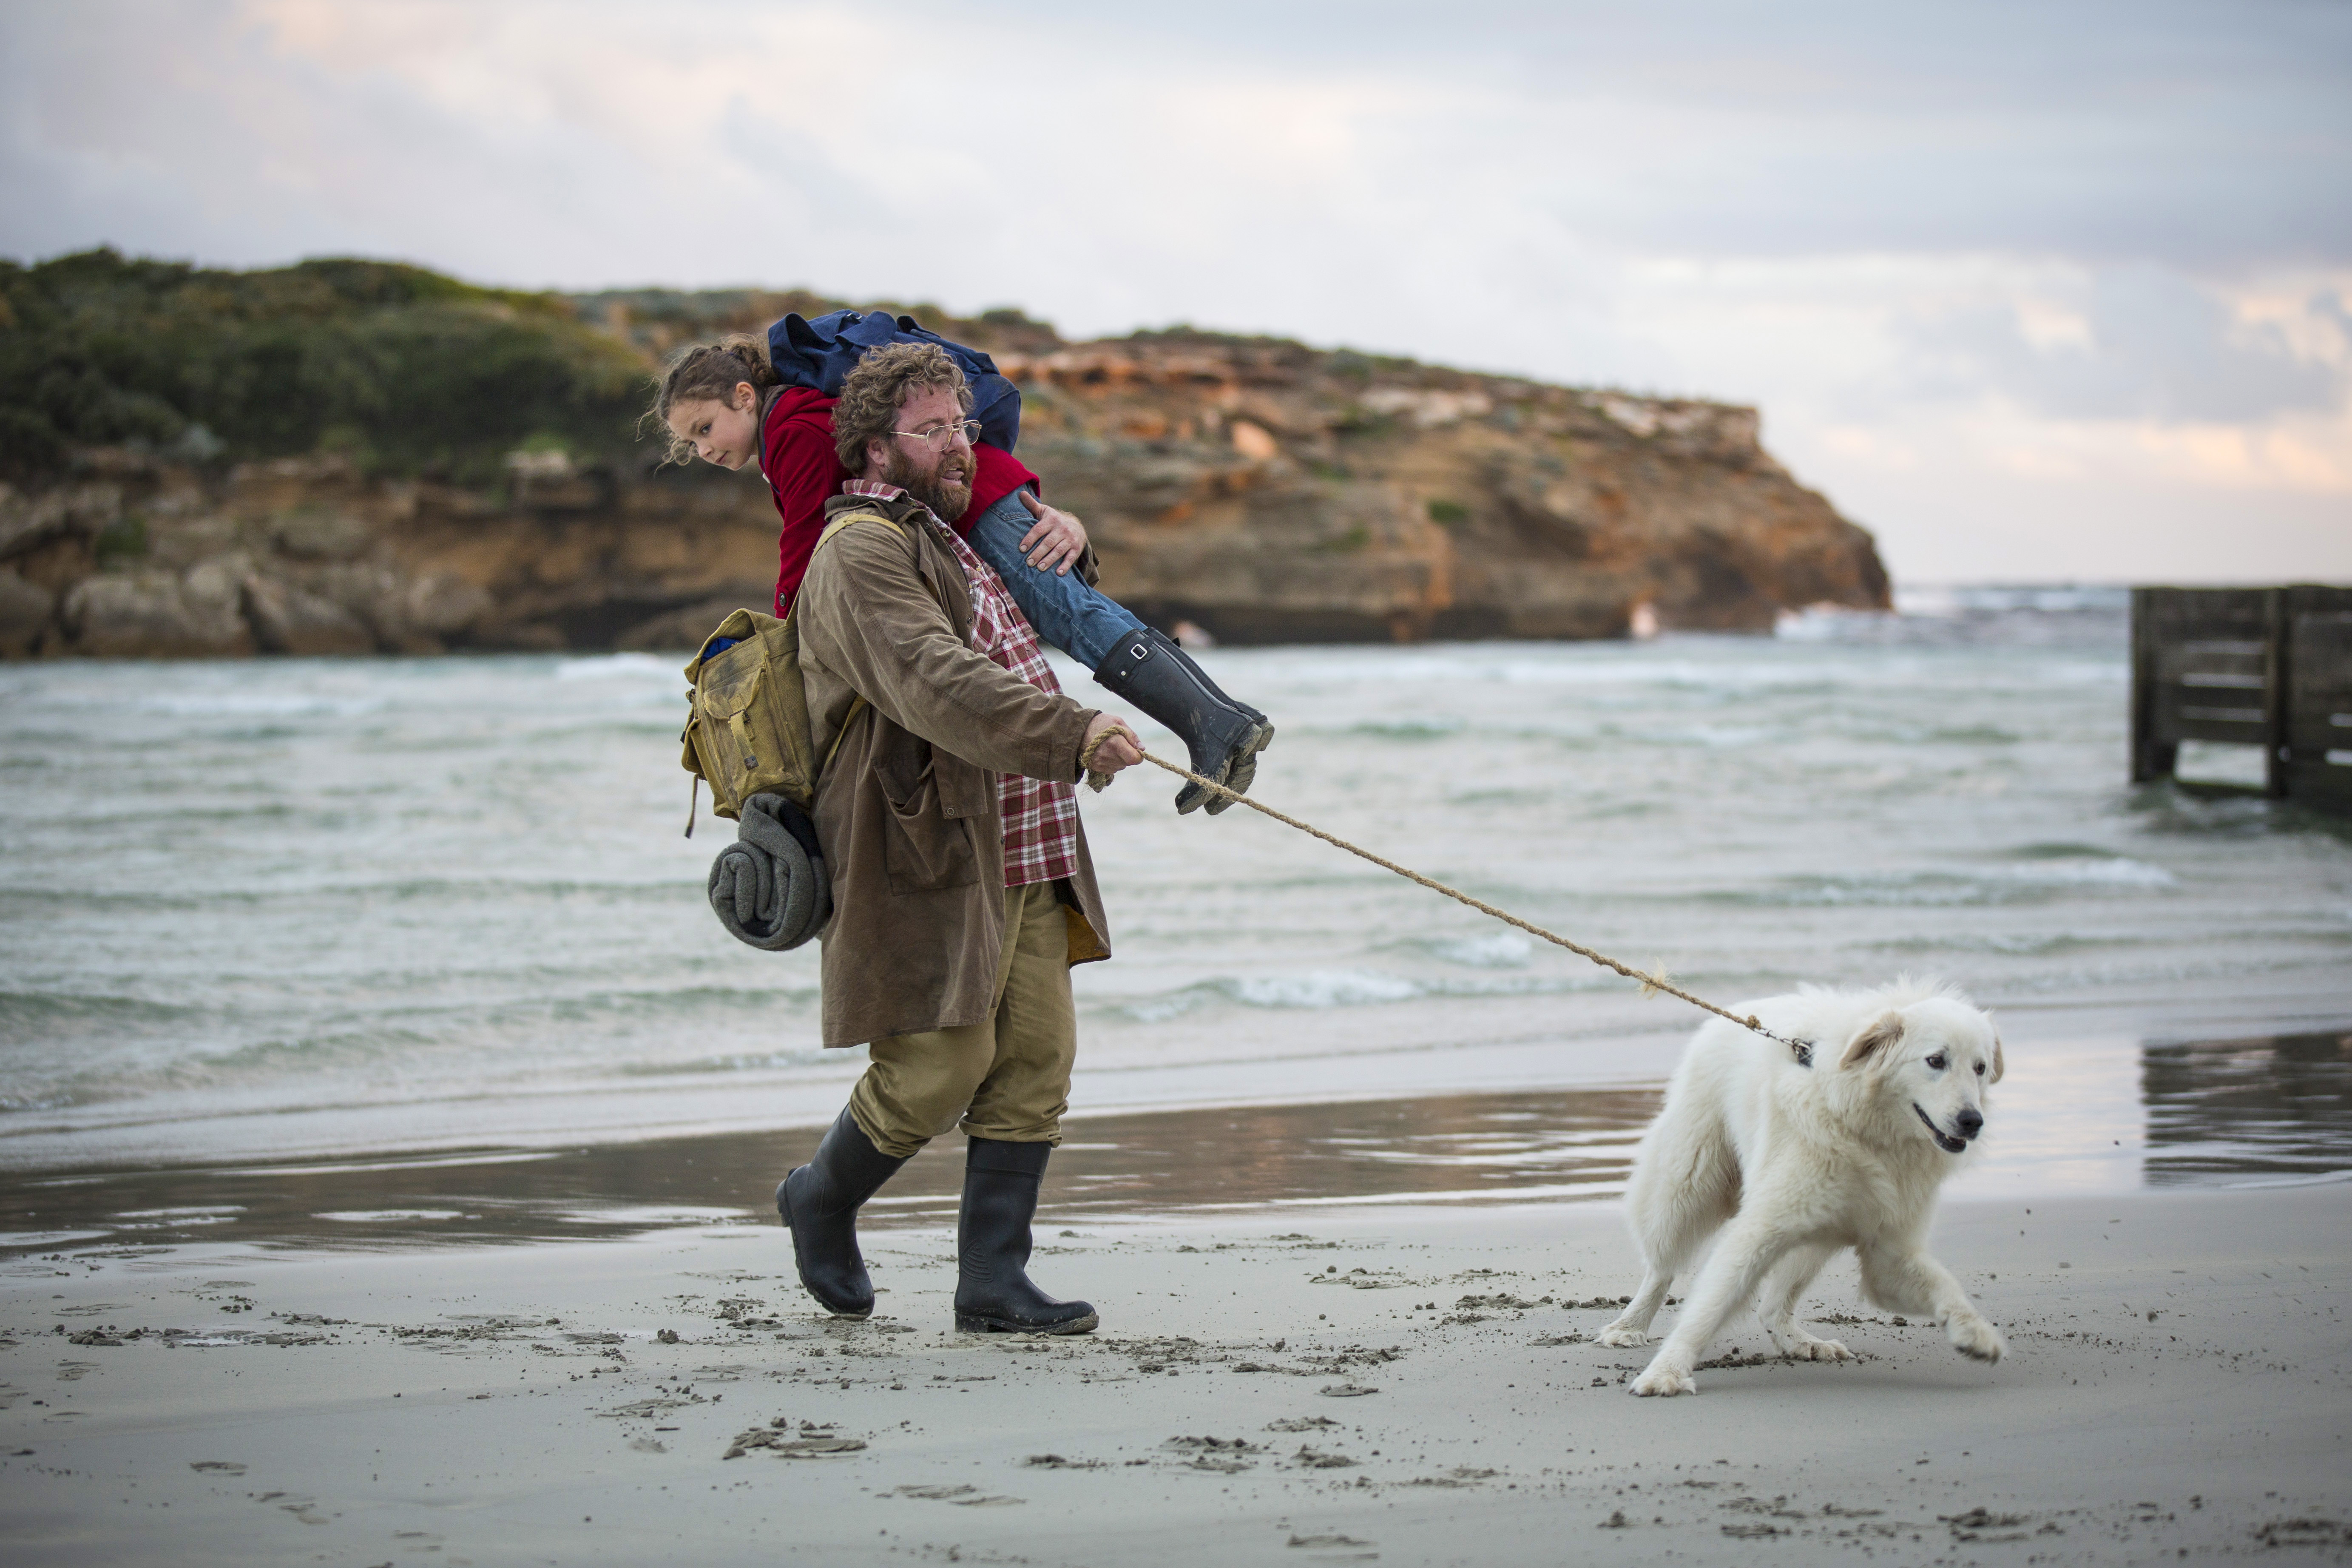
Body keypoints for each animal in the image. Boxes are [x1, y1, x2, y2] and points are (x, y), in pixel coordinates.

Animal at [1608, 983, 2013, 1401]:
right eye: (1935, 1061)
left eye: (1980, 1068)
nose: (1972, 1121)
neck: (1868, 1132)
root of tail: (1743, 1009)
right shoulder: (1758, 1232)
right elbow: (1706, 1310)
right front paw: (1666, 1372)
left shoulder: (1889, 1254)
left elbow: (1943, 1284)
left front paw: (1975, 1333)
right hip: (1688, 1186)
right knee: (1662, 1268)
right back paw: (1629, 1327)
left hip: (1817, 1236)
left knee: (1773, 1307)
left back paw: (1801, 1343)